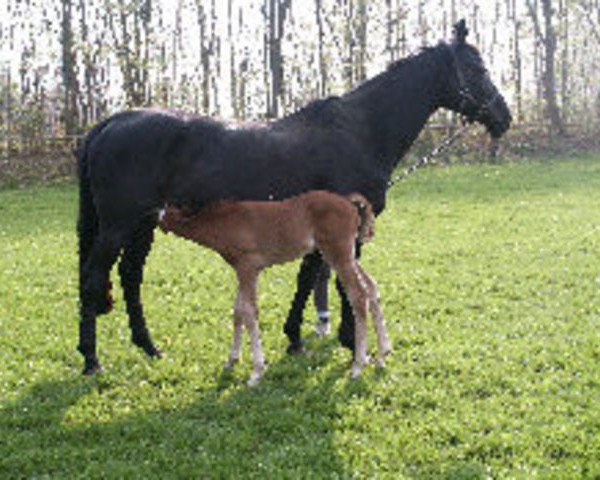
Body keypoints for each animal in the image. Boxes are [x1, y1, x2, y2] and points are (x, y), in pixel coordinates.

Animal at [158, 191, 390, 386]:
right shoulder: (242, 271)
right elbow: (238, 311)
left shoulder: (248, 268)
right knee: (371, 287)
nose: (156, 217)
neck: (225, 221)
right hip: (346, 256)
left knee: (358, 296)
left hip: (338, 254)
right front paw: (231, 360)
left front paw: (256, 372)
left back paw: (358, 366)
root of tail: (349, 203)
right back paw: (382, 355)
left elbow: (250, 313)